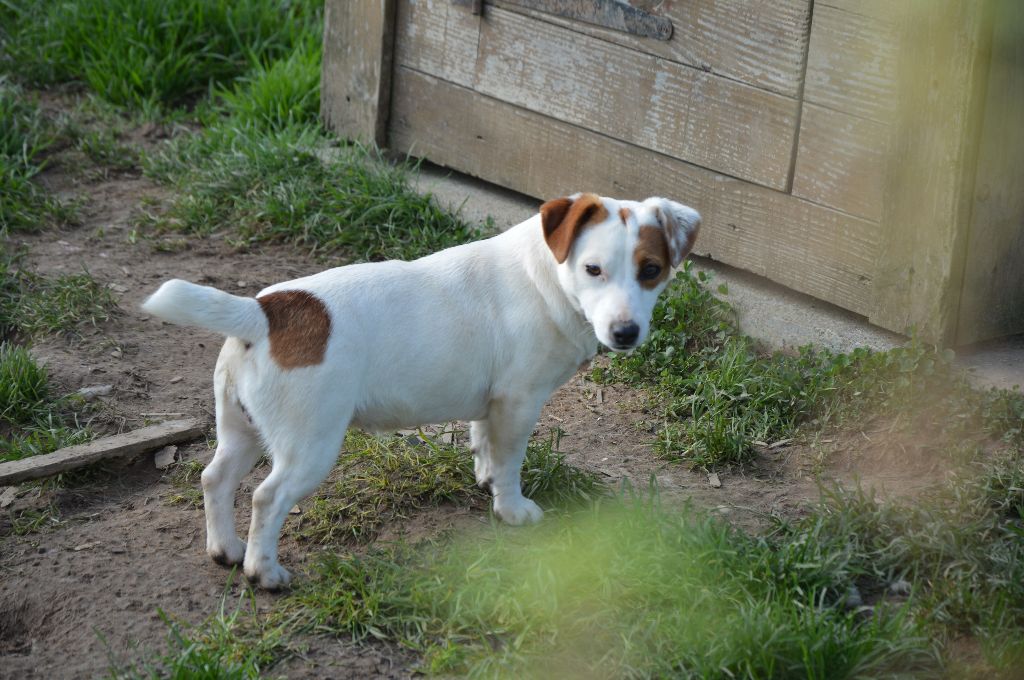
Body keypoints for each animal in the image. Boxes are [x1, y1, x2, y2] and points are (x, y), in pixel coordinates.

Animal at [142, 193, 696, 585]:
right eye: (592, 269)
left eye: (651, 270)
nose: (626, 333)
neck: (545, 278)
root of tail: (263, 313)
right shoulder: (519, 402)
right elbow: (510, 463)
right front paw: (512, 509)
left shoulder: (490, 403)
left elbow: (484, 447)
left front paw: (484, 479)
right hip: (309, 446)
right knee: (267, 497)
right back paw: (265, 572)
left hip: (243, 429)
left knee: (215, 479)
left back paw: (227, 551)